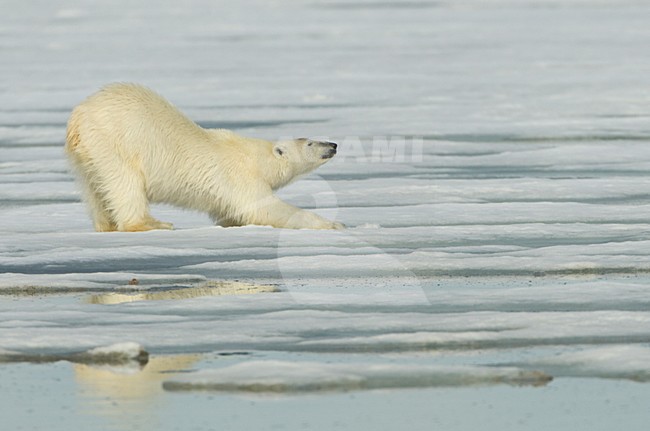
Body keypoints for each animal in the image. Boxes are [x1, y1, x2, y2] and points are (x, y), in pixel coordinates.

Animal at [65, 83, 344, 232]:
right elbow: (263, 209)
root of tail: (78, 117)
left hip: (85, 156)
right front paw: (332, 224)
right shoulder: (240, 176)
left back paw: (106, 225)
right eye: (309, 142)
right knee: (125, 183)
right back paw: (154, 224)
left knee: (94, 189)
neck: (255, 156)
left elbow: (230, 214)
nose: (333, 145)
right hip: (115, 142)